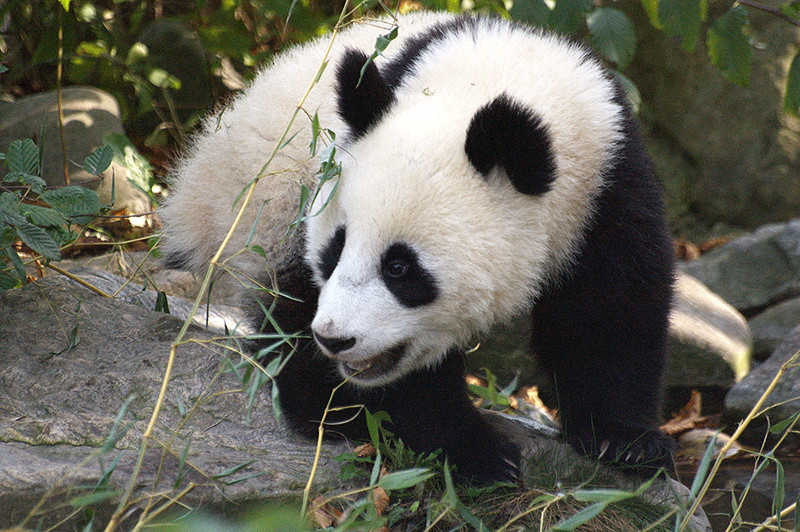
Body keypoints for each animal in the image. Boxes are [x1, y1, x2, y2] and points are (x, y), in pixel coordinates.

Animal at [162, 11, 676, 482]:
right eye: (335, 249)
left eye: (399, 268)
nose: (335, 339)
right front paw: (475, 451)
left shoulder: (607, 184)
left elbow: (611, 308)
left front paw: (626, 442)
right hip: (260, 204)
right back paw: (332, 406)